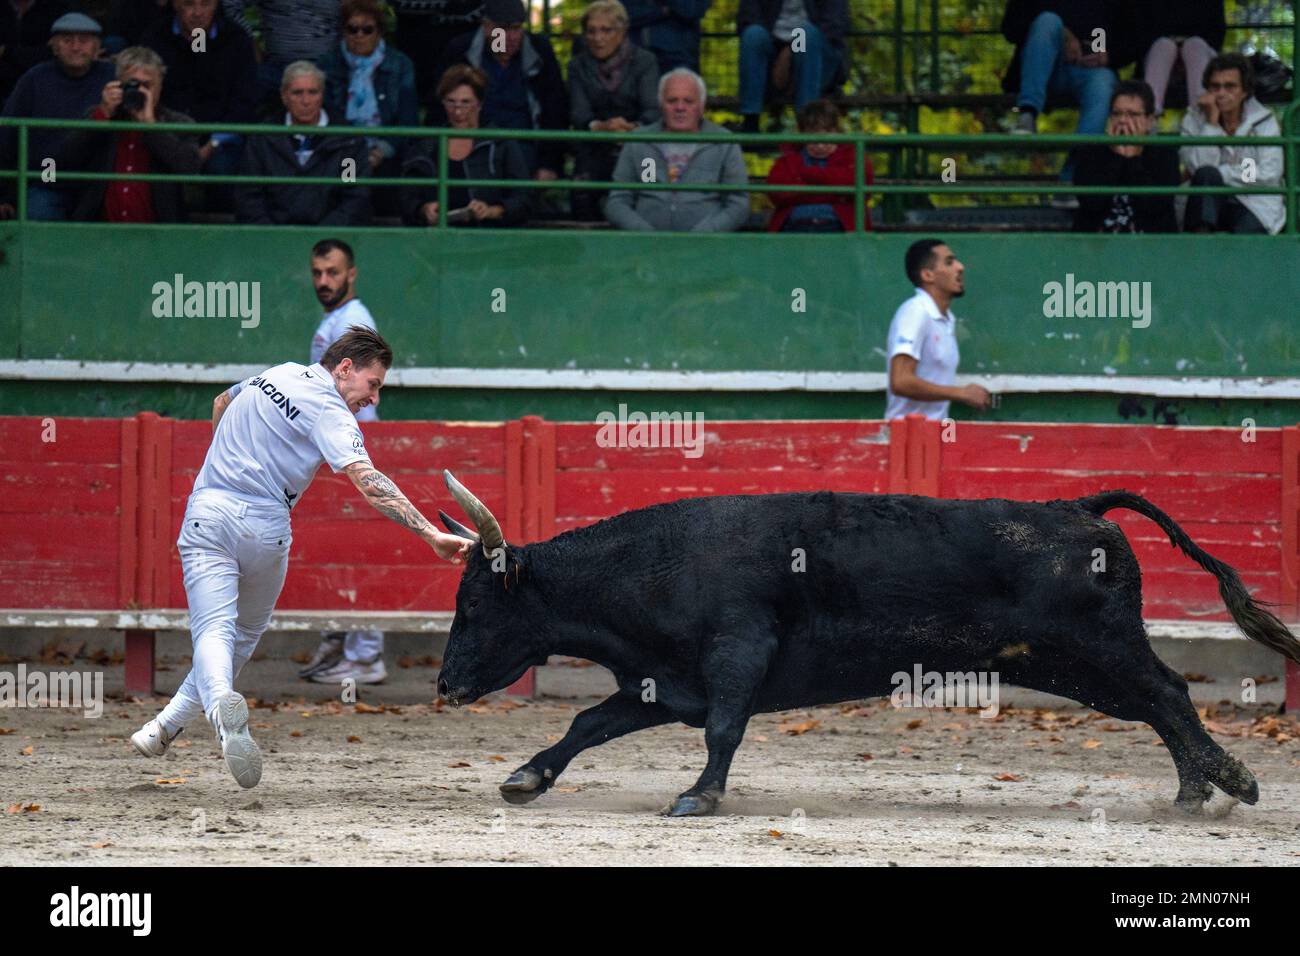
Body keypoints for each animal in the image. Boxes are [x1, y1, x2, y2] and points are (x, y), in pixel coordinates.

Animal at [431, 476, 1294, 816]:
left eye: (472, 603)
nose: (443, 686)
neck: (649, 566)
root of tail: (1079, 506)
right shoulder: (663, 682)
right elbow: (588, 724)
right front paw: (525, 778)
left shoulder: (737, 654)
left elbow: (723, 732)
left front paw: (699, 797)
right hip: (1075, 667)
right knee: (1158, 707)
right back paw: (1192, 793)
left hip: (1098, 650)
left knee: (1170, 695)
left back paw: (1230, 782)